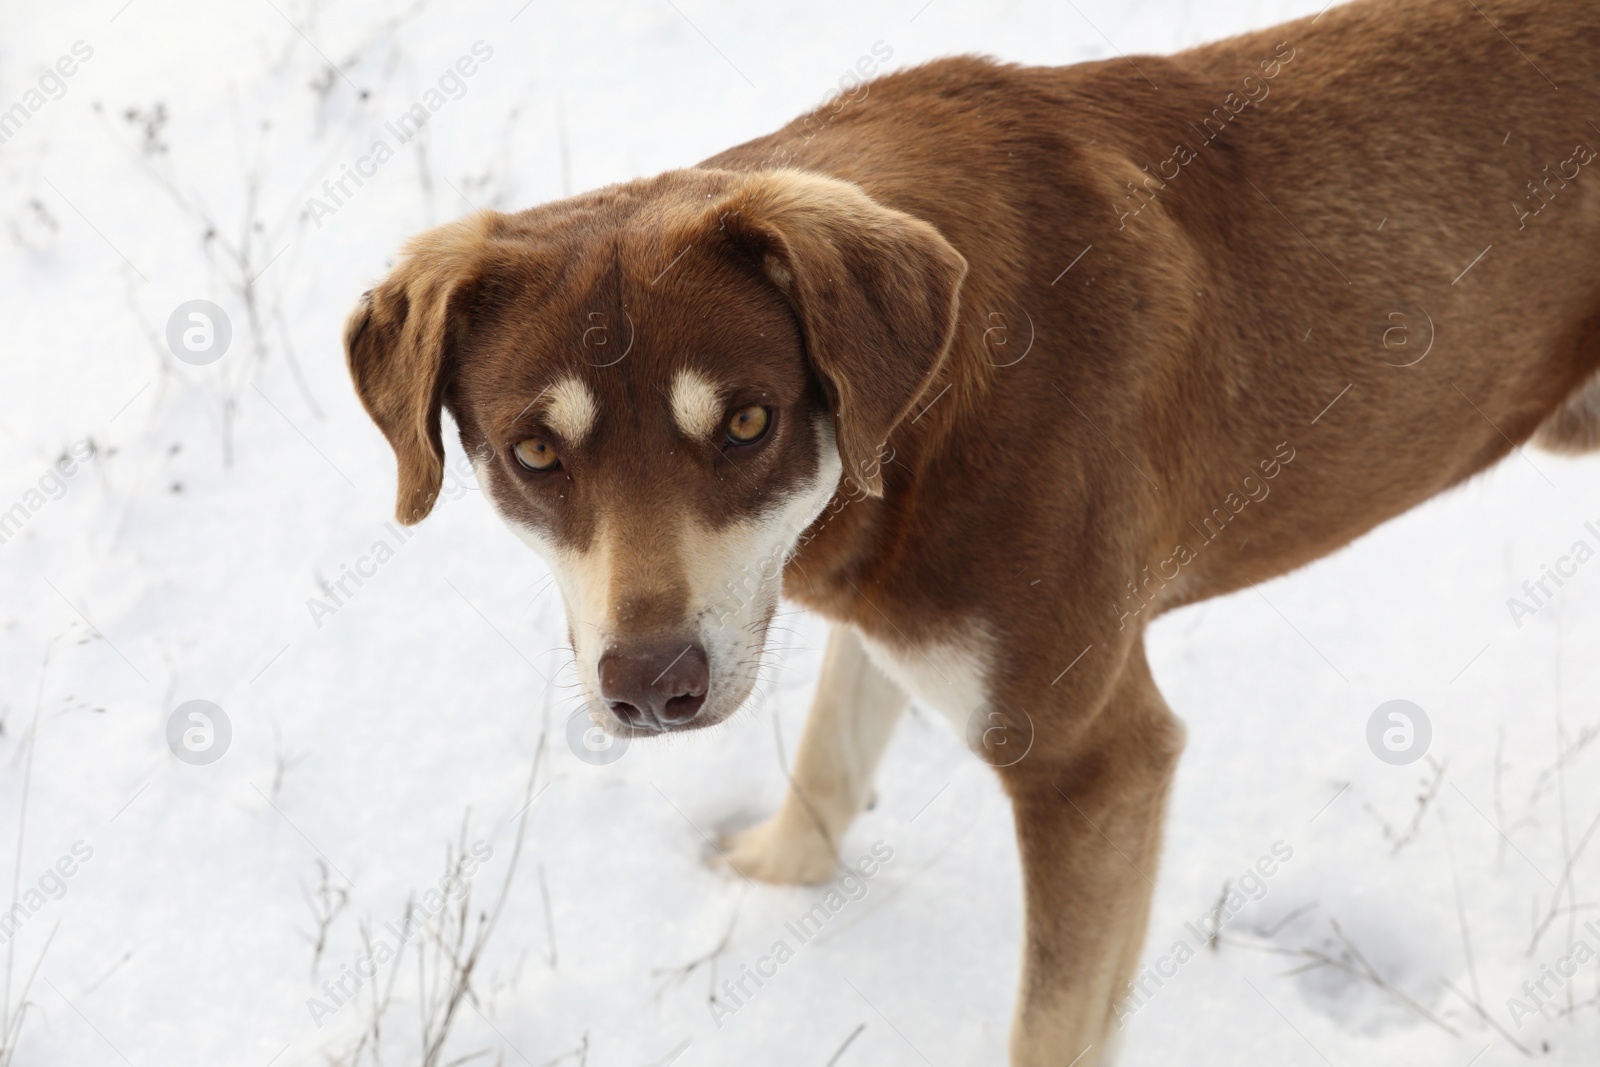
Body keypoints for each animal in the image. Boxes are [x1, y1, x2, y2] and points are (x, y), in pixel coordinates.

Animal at [344, 2, 1600, 1062]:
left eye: (748, 422)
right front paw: (764, 884)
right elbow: (829, 753)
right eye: (535, 453)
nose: (652, 687)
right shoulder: (881, 598)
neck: (926, 410)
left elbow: (1052, 1019)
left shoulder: (1094, 761)